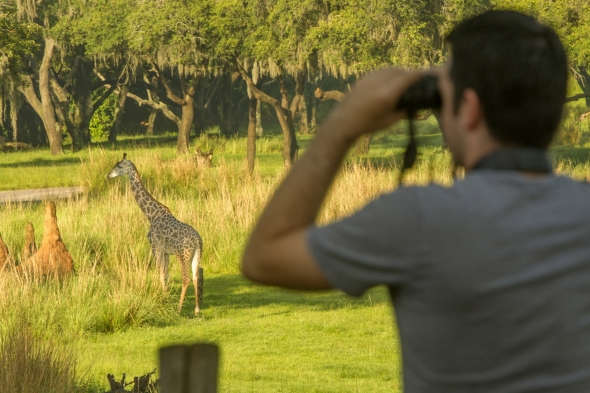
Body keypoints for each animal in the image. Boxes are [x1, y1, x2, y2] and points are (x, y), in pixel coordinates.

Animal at [108, 154, 206, 316]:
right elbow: (165, 275)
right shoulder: (165, 252)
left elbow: (160, 273)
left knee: (186, 278)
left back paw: (179, 308)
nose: (108, 175)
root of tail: (198, 241)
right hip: (196, 255)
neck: (151, 214)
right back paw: (197, 309)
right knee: (195, 277)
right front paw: (165, 298)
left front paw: (163, 300)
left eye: (119, 166)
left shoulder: (156, 247)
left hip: (182, 255)